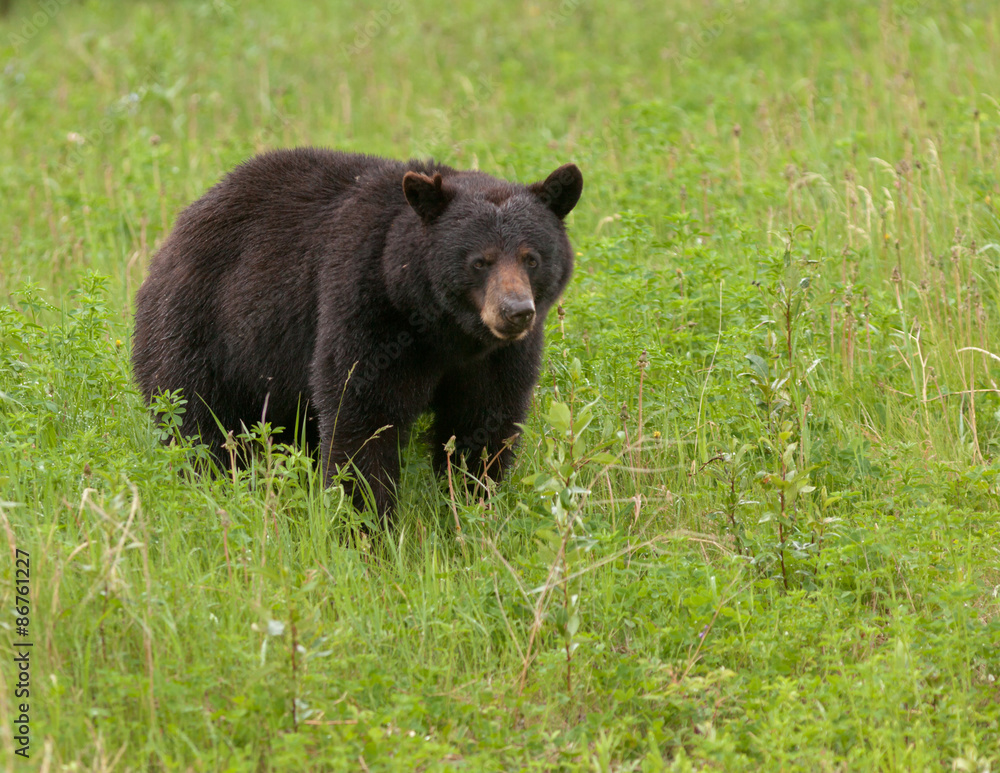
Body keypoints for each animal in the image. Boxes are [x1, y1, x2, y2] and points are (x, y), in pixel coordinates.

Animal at [135, 148, 584, 524]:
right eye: (479, 261)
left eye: (531, 258)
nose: (515, 311)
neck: (446, 331)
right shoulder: (368, 309)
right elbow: (365, 416)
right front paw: (367, 523)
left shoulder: (497, 358)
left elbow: (484, 423)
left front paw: (471, 507)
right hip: (204, 331)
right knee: (200, 422)